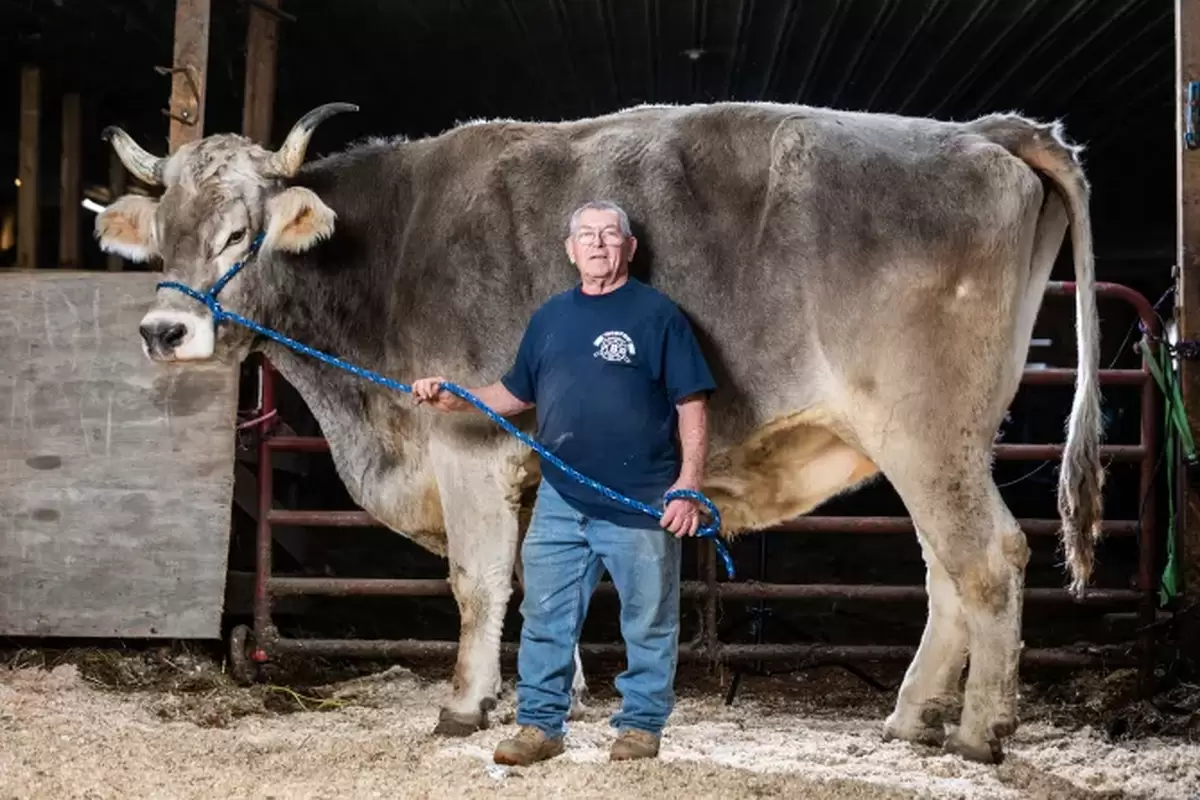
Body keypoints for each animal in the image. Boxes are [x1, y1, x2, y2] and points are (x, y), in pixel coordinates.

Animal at [98, 100, 1099, 762]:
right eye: (164, 237)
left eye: (242, 234)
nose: (164, 332)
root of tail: (983, 129)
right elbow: (543, 585)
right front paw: (559, 697)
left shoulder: (465, 442)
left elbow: (477, 583)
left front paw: (463, 706)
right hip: (937, 442)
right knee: (944, 572)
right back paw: (912, 716)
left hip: (926, 433)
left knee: (988, 559)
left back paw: (980, 732)